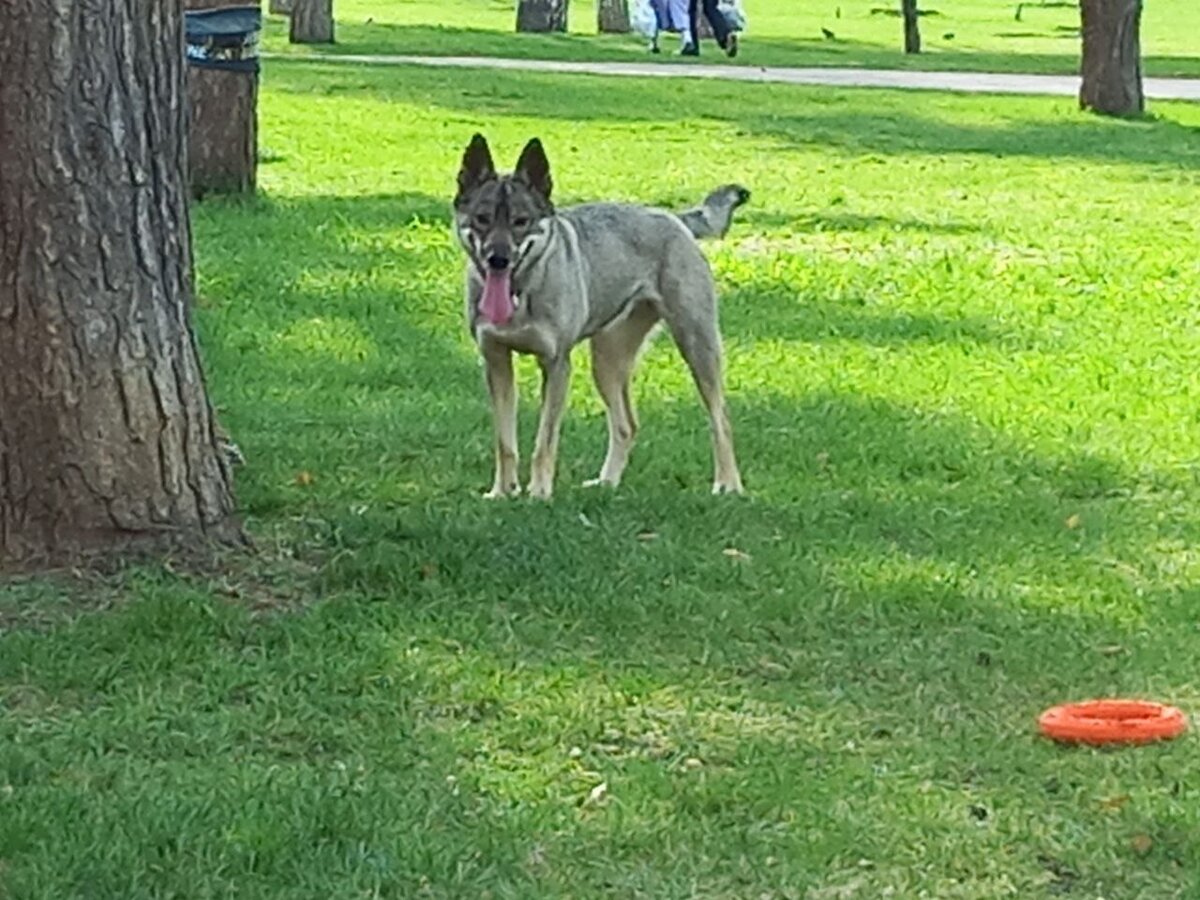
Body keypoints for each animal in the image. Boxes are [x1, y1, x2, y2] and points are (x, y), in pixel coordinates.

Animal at [451, 133, 744, 501]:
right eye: (481, 218)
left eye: (521, 221)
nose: (498, 259)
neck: (521, 294)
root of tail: (673, 218)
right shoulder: (496, 362)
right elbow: (505, 444)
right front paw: (502, 492)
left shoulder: (556, 365)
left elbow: (544, 443)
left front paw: (539, 493)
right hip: (606, 362)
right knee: (626, 424)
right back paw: (607, 482)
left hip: (697, 347)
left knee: (722, 420)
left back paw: (728, 484)